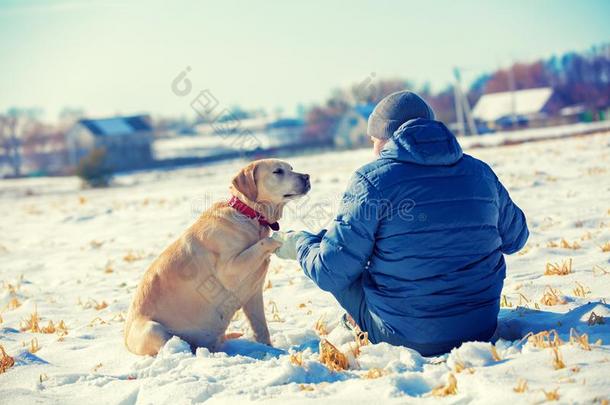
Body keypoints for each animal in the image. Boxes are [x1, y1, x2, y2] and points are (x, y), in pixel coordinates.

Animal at [126, 158, 312, 354]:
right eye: (278, 171)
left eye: (291, 168)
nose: (307, 177)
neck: (247, 214)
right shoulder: (230, 269)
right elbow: (264, 242)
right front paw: (282, 239)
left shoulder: (253, 294)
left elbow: (261, 329)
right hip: (153, 329)